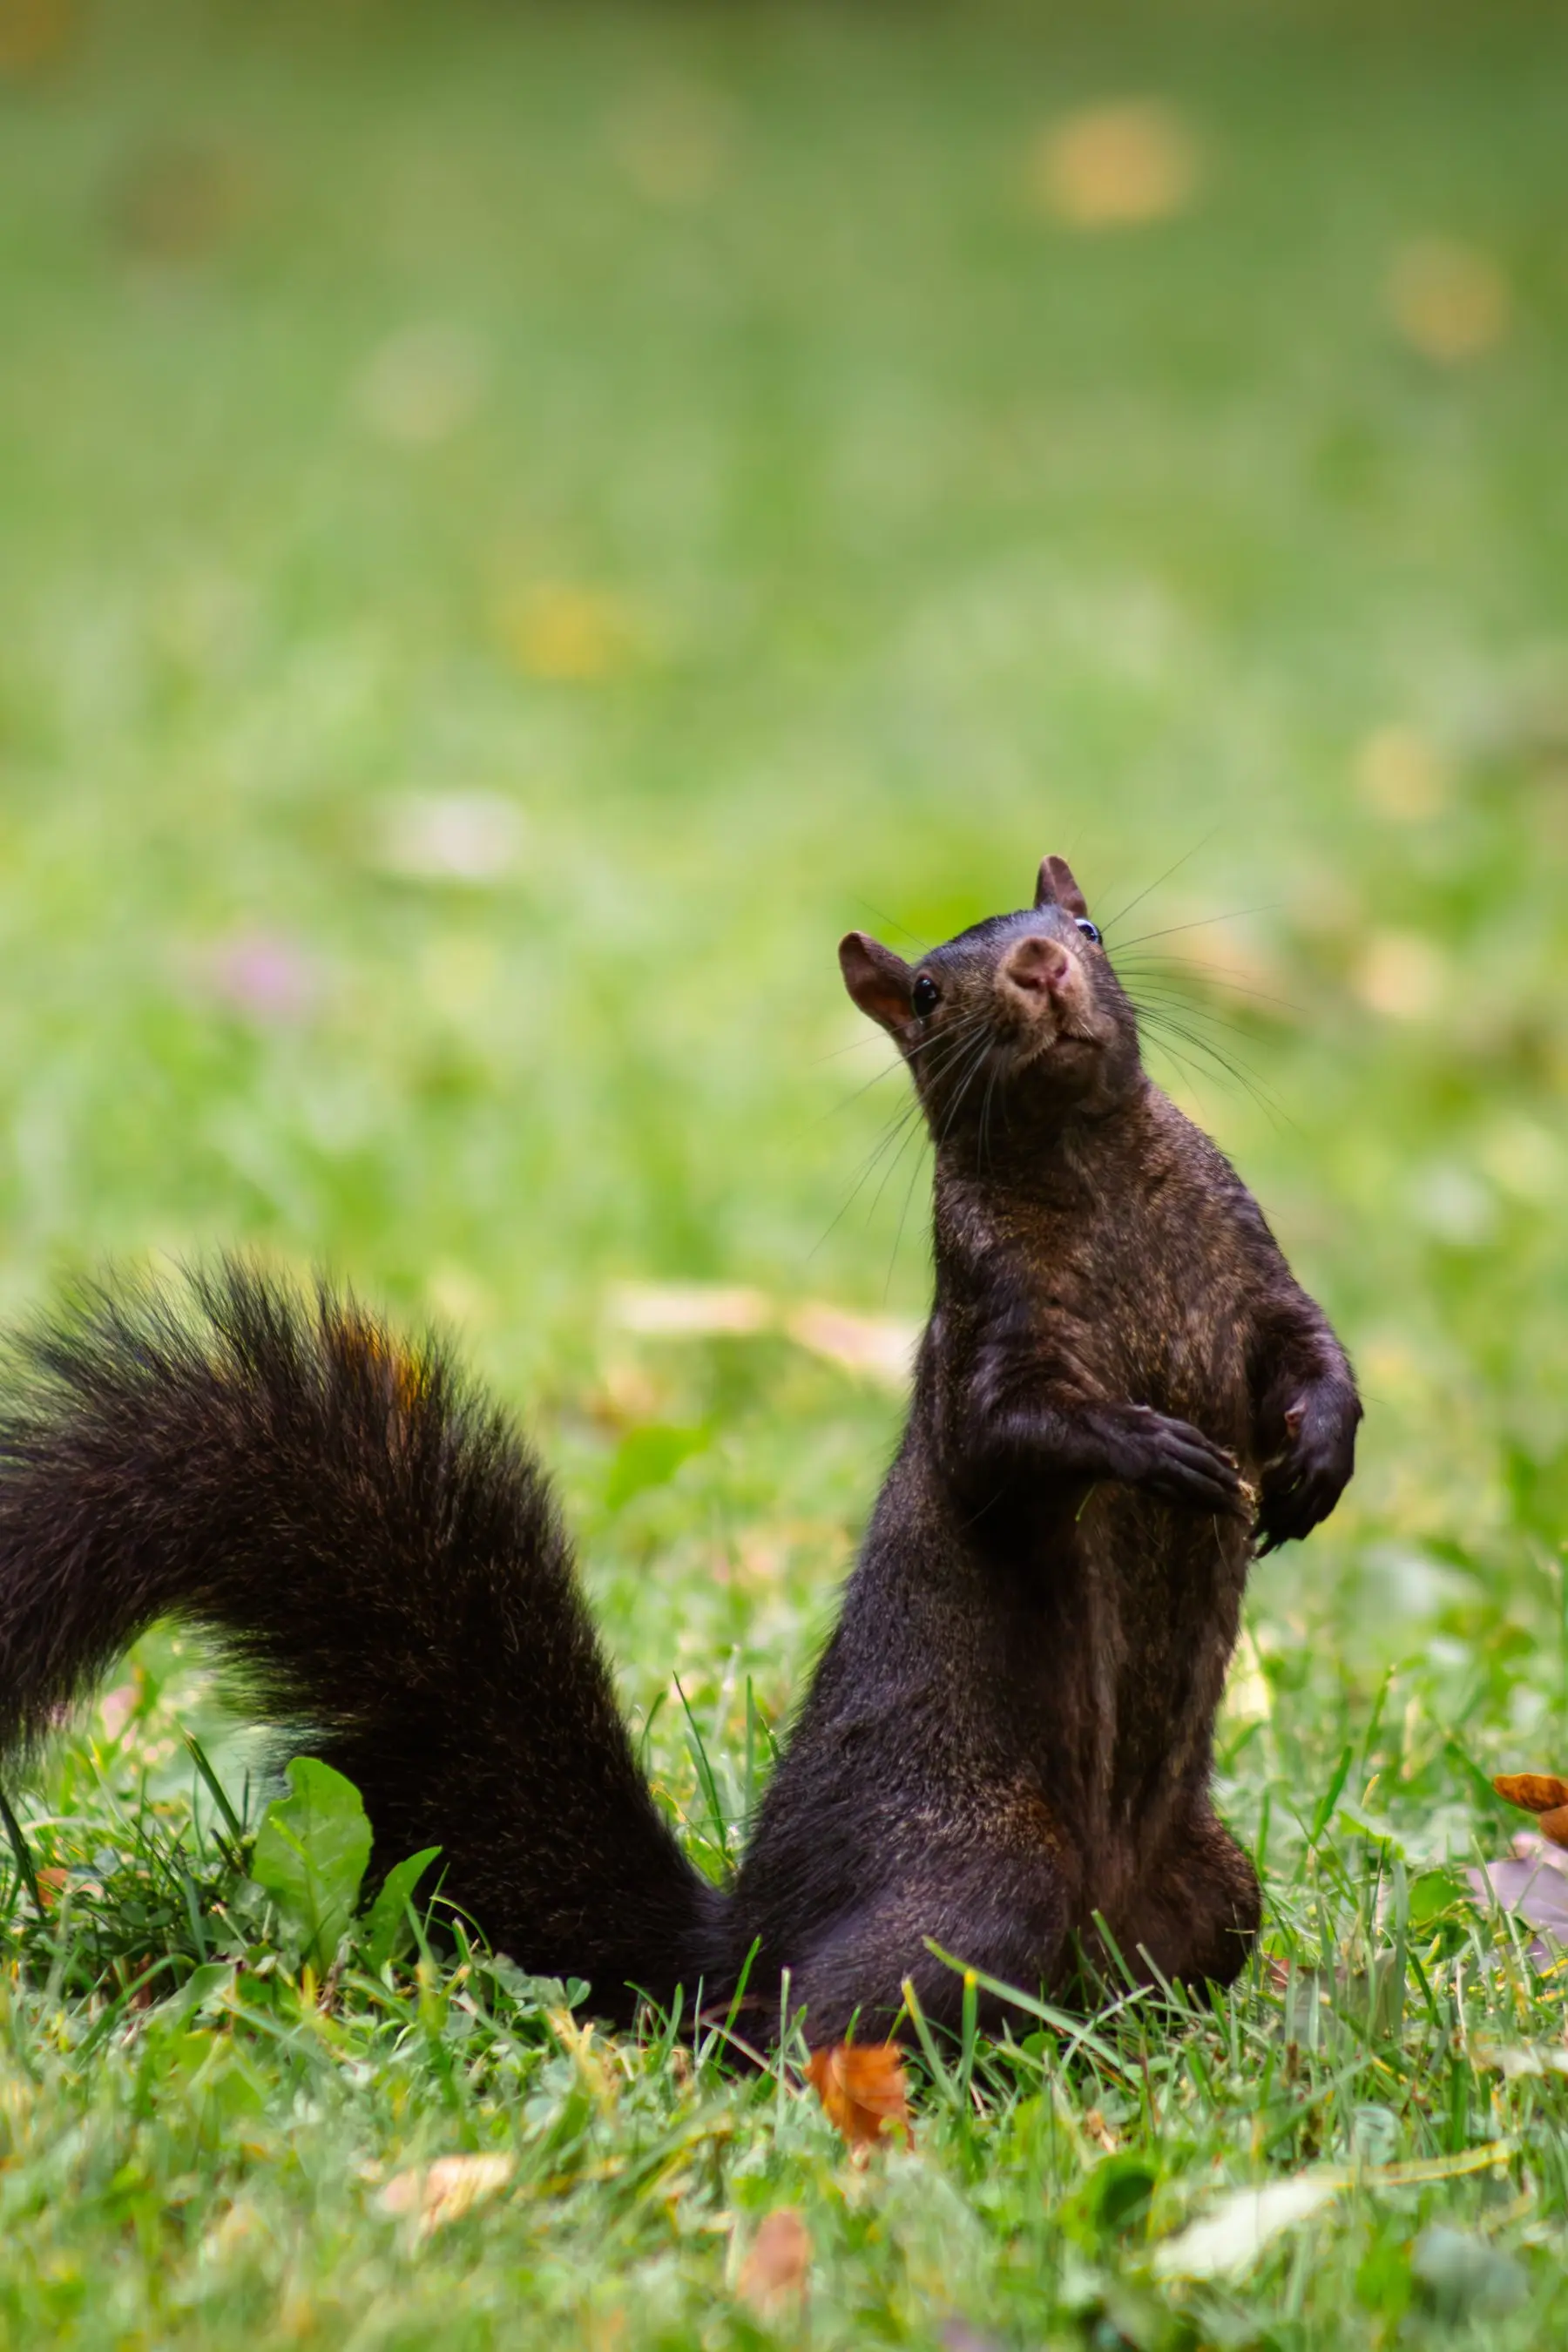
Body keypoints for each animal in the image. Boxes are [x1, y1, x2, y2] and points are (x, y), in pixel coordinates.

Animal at [0, 856, 1359, 2041]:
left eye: (1088, 931)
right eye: (927, 992)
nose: (1039, 963)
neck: (1088, 1167)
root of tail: (740, 1945)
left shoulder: (1249, 1270)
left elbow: (1311, 1351)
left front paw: (1320, 1459)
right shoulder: (987, 1328)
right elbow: (1009, 1439)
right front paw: (1154, 1449)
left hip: (1218, 1889)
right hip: (982, 1880)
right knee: (792, 2034)